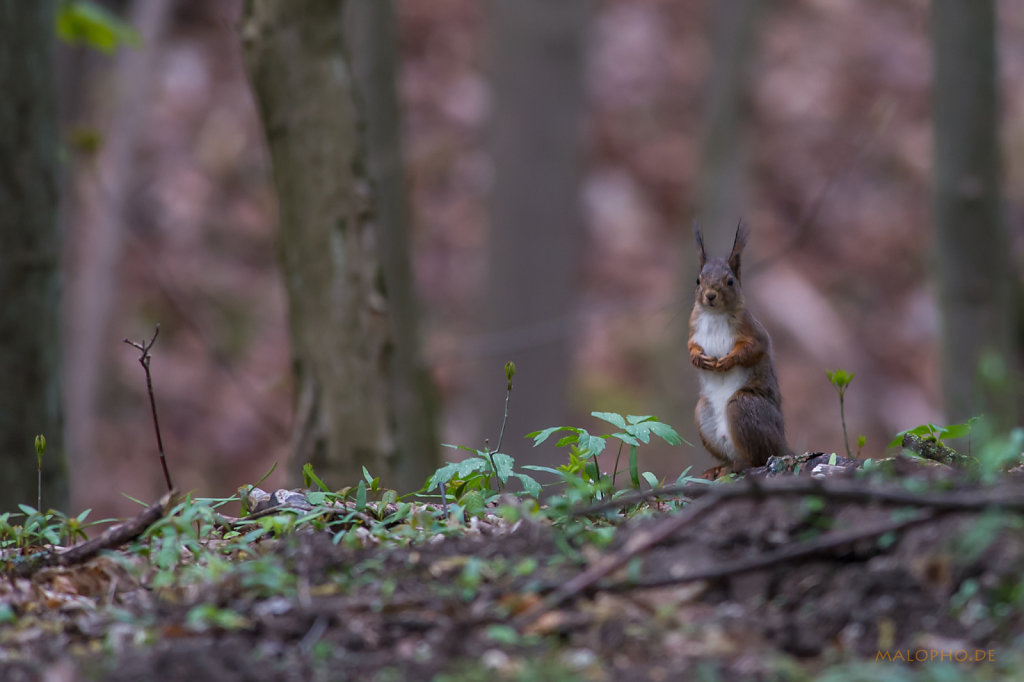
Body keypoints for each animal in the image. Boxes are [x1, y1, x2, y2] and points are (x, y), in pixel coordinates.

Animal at [688, 220, 790, 471]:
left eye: (730, 281)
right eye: (698, 280)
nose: (710, 295)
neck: (715, 315)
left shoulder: (754, 332)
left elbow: (753, 349)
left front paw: (729, 360)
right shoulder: (693, 331)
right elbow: (690, 347)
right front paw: (698, 358)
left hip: (743, 406)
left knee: (760, 458)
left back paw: (741, 465)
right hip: (703, 413)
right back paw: (716, 469)